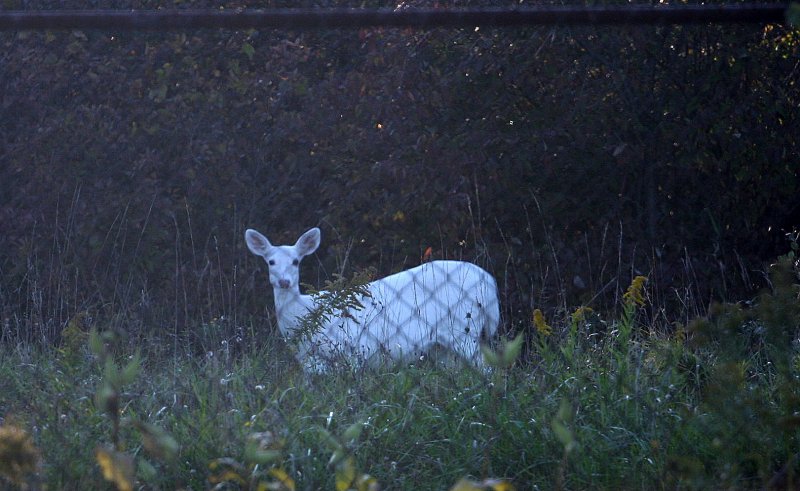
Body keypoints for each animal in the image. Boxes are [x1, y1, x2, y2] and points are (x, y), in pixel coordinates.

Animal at [244, 227, 496, 372]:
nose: (284, 281)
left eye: (296, 261)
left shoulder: (350, 350)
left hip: (463, 329)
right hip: (444, 346)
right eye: (270, 261)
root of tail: (489, 281)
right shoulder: (310, 362)